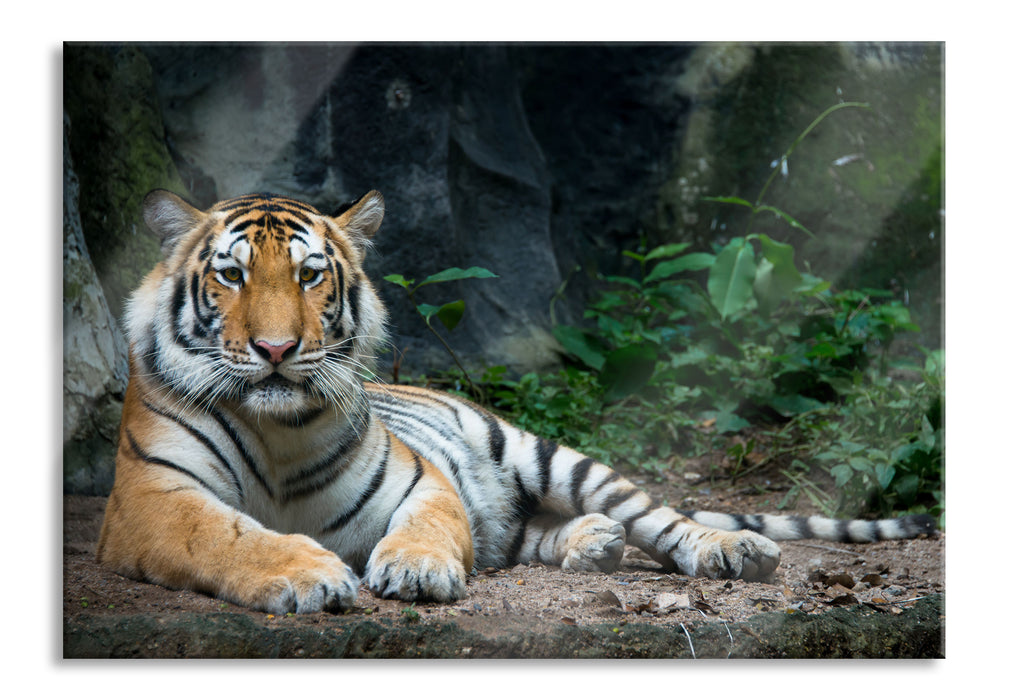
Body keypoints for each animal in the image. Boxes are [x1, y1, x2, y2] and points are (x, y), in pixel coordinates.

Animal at [95, 189, 936, 615]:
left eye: (308, 275)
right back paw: (592, 544)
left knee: (659, 517)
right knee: (520, 531)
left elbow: (432, 525)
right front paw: (307, 574)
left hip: (545, 453)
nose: (275, 350)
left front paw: (414, 570)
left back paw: (729, 549)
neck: (278, 430)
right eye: (231, 276)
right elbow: (228, 536)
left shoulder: (420, 480)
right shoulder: (153, 500)